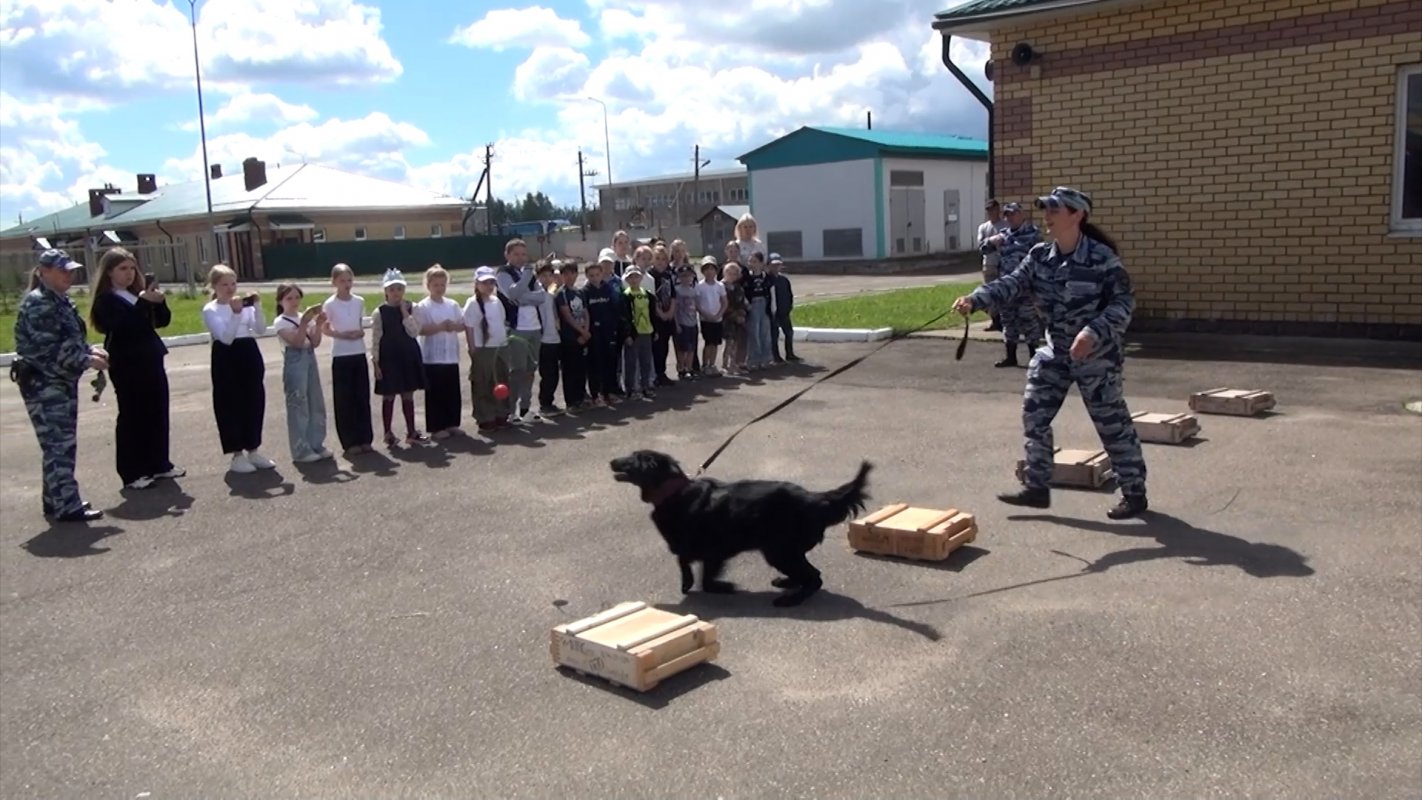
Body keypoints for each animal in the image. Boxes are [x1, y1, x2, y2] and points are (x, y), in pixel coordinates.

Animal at [608, 451, 870, 608]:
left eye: (633, 458)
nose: (611, 461)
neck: (673, 492)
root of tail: (816, 499)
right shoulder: (697, 547)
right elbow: (684, 561)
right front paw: (687, 582)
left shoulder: (715, 549)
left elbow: (704, 577)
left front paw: (723, 587)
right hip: (783, 551)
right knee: (807, 574)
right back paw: (787, 583)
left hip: (779, 550)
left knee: (814, 577)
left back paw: (791, 600)